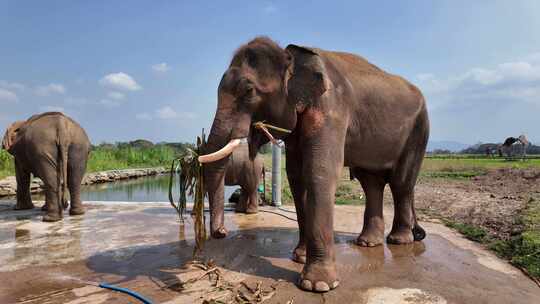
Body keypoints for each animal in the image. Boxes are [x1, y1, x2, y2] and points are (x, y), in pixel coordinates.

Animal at [198, 37, 430, 292]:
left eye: (248, 91)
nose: (221, 232)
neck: (291, 58)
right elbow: (297, 177)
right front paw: (299, 258)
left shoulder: (331, 108)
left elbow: (319, 171)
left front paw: (317, 285)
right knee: (371, 183)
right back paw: (368, 243)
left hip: (419, 130)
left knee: (400, 182)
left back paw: (399, 240)